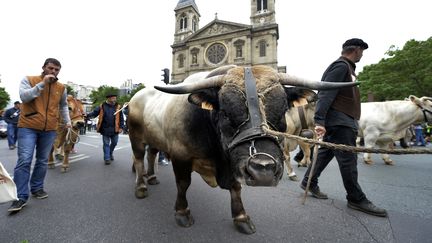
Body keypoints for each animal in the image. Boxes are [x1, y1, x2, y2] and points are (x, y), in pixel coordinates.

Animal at [126, 64, 356, 234]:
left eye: (283, 110)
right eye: (226, 113)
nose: (263, 170)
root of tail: (136, 97)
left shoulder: (234, 164)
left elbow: (236, 188)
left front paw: (241, 217)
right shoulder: (180, 156)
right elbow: (183, 184)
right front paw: (182, 212)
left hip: (154, 140)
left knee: (151, 155)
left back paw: (151, 177)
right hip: (136, 138)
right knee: (138, 159)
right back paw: (141, 186)